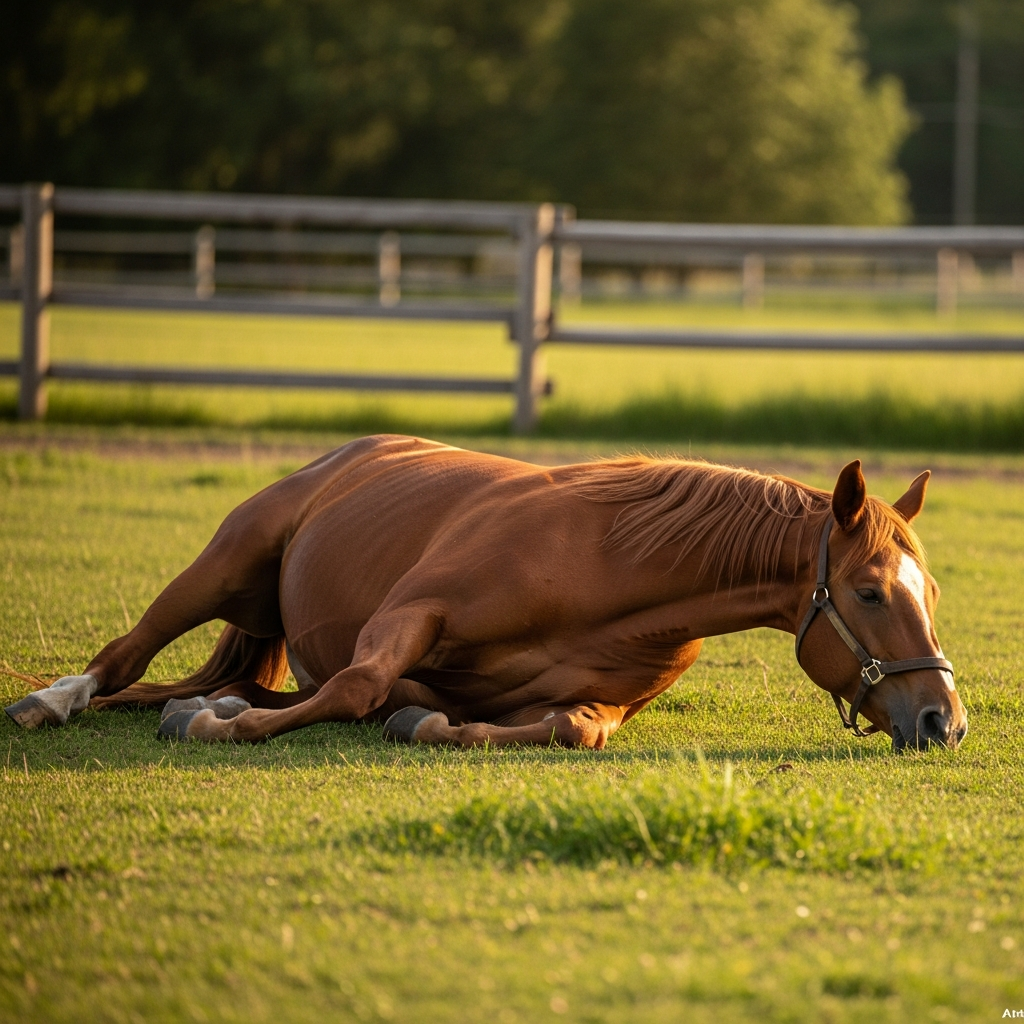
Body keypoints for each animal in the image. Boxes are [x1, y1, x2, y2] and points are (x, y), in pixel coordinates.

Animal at [5, 434, 967, 752]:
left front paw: (422, 722)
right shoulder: (407, 614)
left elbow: (573, 728)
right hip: (224, 560)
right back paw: (56, 702)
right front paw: (213, 728)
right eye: (872, 592)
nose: (943, 722)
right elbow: (358, 682)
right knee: (125, 654)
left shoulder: (593, 707)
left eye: (931, 591)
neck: (608, 566)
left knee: (212, 680)